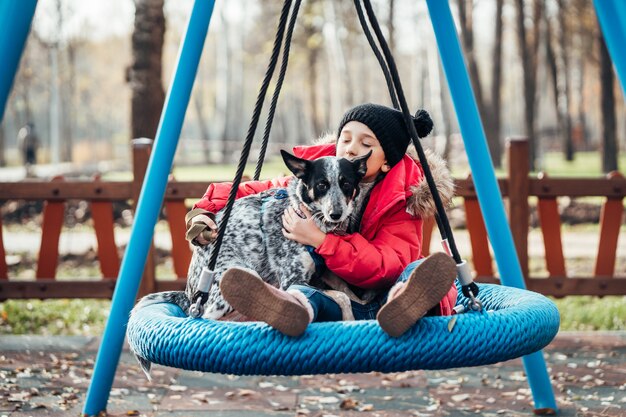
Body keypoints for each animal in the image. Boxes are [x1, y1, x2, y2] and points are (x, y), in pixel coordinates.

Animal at [133, 150, 370, 322]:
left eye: (346, 183)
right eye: (321, 184)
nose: (336, 214)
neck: (307, 214)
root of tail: (189, 293)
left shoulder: (325, 272)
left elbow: (349, 293)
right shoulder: (292, 280)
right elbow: (341, 297)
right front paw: (349, 318)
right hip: (235, 277)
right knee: (207, 317)